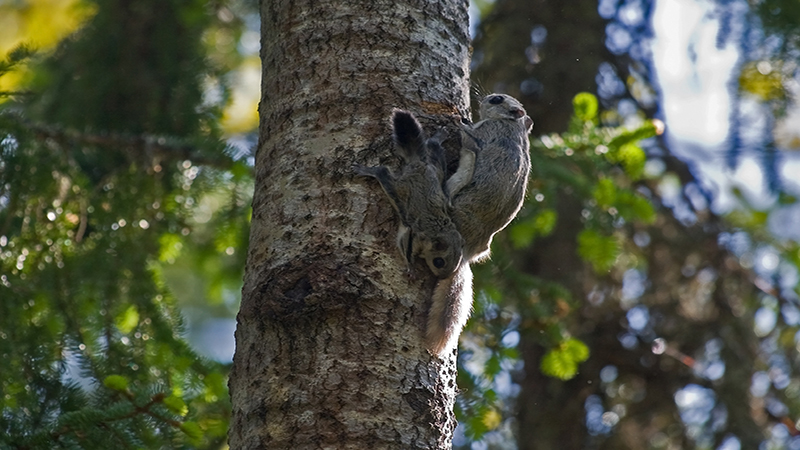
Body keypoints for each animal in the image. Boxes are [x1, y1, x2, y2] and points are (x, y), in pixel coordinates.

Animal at [354, 110, 466, 278]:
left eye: (457, 263)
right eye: (439, 262)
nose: (441, 277)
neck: (438, 230)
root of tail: (416, 165)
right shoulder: (415, 236)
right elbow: (404, 245)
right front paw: (410, 267)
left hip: (436, 172)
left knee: (432, 146)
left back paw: (438, 138)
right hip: (398, 188)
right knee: (383, 172)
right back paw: (371, 171)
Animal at [428, 93, 536, 356]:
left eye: (498, 99)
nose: (485, 97)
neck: (514, 126)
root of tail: (466, 252)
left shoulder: (485, 133)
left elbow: (469, 136)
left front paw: (459, 121)